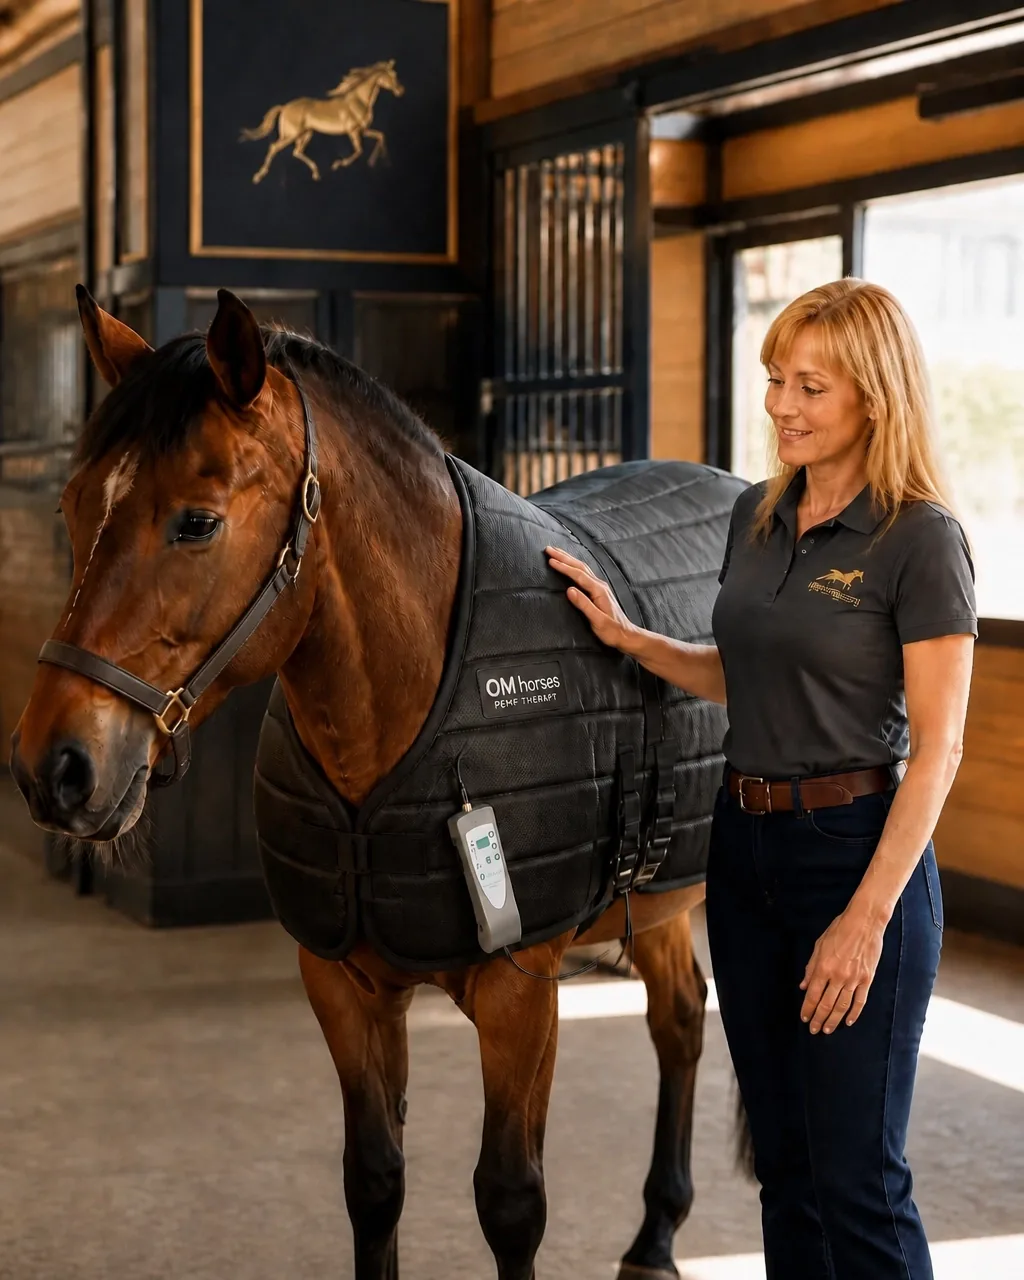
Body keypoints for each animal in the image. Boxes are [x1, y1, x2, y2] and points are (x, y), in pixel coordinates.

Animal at [11, 289, 714, 1280]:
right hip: (654, 902)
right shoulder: (344, 984)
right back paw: (654, 1234)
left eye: (197, 522)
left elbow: (511, 1204)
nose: (55, 767)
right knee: (682, 1019)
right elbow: (374, 1181)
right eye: (73, 508)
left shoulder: (523, 993)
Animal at [240, 60, 404, 184]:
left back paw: (316, 173)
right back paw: (258, 176)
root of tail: (284, 107)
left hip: (306, 134)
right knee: (274, 147)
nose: (401, 91)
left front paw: (380, 161)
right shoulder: (353, 131)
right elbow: (359, 150)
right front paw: (338, 164)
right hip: (292, 134)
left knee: (297, 152)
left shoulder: (362, 130)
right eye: (391, 76)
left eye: (395, 74)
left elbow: (380, 136)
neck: (359, 101)